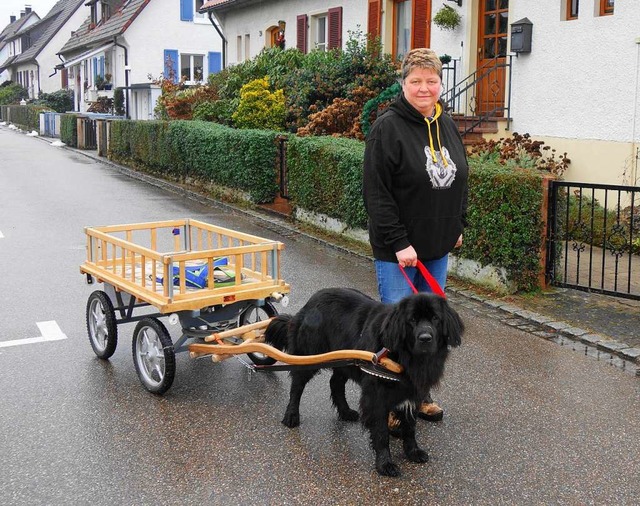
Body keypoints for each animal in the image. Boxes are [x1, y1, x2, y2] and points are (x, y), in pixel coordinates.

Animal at [264, 286, 464, 476]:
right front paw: (385, 464)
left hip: (345, 359)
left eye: (435, 318)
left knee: (335, 383)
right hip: (310, 354)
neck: (405, 357)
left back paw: (345, 412)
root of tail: (310, 302)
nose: (425, 338)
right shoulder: (376, 396)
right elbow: (381, 433)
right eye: (412, 320)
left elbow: (410, 426)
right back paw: (291, 416)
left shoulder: (413, 392)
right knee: (297, 385)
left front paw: (413, 451)